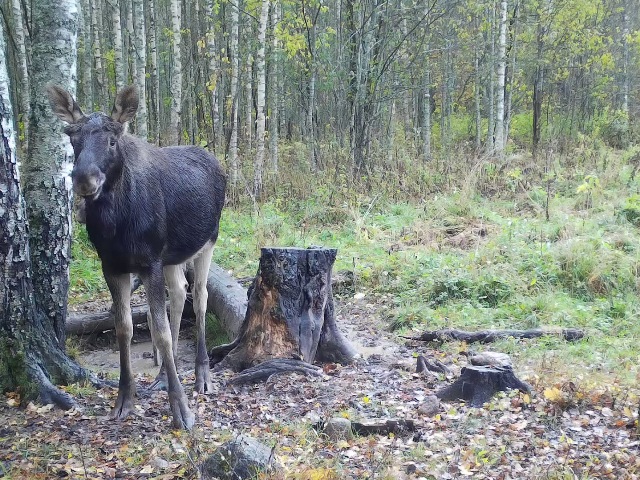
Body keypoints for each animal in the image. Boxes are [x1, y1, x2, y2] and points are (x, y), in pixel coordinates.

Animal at [47, 85, 226, 430]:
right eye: (73, 139)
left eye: (112, 140)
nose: (84, 178)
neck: (115, 226)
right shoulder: (113, 266)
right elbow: (124, 328)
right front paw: (124, 400)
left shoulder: (149, 262)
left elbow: (161, 333)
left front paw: (181, 411)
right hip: (171, 258)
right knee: (180, 293)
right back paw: (163, 375)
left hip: (208, 240)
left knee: (200, 297)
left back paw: (202, 376)